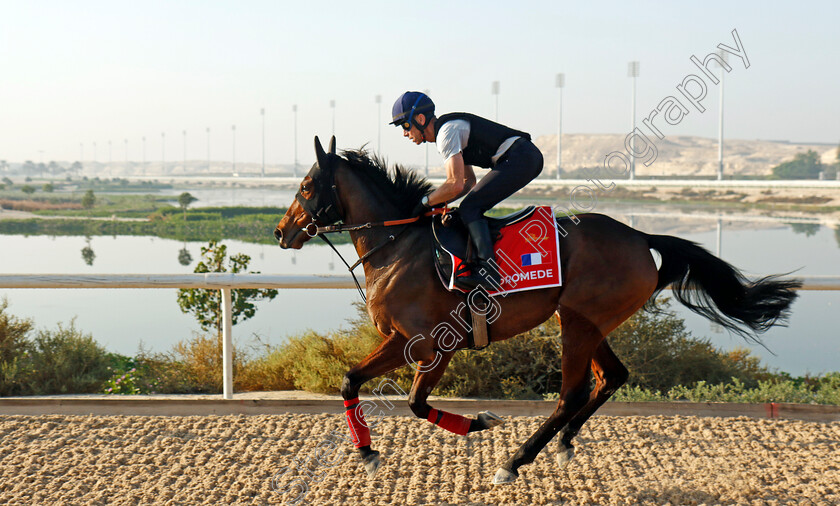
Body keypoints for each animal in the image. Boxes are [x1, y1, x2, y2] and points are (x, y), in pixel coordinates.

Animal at [274, 136, 800, 484]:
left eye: (306, 185)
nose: (281, 232)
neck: (398, 245)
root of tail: (639, 236)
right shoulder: (398, 340)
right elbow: (350, 381)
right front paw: (366, 453)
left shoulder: (433, 346)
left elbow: (417, 403)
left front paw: (480, 423)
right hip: (588, 321)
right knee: (613, 376)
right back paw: (565, 442)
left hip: (579, 322)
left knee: (571, 392)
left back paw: (515, 461)